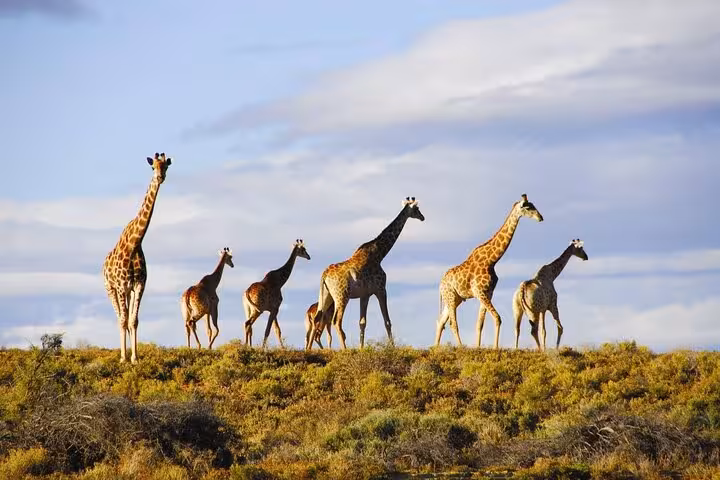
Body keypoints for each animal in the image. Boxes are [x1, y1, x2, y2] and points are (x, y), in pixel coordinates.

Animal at [102, 152, 171, 364]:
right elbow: (124, 319)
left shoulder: (139, 285)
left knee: (127, 318)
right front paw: (124, 358)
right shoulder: (121, 286)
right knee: (119, 318)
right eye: (152, 167)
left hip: (128, 291)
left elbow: (134, 320)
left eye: (166, 166)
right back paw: (121, 355)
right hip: (110, 289)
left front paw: (135, 357)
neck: (134, 244)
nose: (160, 177)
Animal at [307, 197, 425, 351]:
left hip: (326, 296)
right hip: (342, 296)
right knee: (336, 321)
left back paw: (308, 349)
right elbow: (387, 321)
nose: (422, 217)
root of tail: (324, 275)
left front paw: (362, 348)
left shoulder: (365, 295)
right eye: (417, 209)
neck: (380, 254)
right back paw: (344, 349)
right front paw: (392, 347)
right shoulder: (381, 289)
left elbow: (362, 322)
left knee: (317, 319)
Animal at [435, 194, 543, 349]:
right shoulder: (479, 292)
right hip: (449, 296)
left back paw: (435, 348)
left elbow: (480, 324)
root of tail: (440, 285)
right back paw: (461, 347)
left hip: (456, 298)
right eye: (528, 207)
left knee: (441, 321)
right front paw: (495, 348)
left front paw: (478, 347)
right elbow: (497, 318)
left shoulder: (488, 293)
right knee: (452, 324)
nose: (540, 217)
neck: (492, 260)